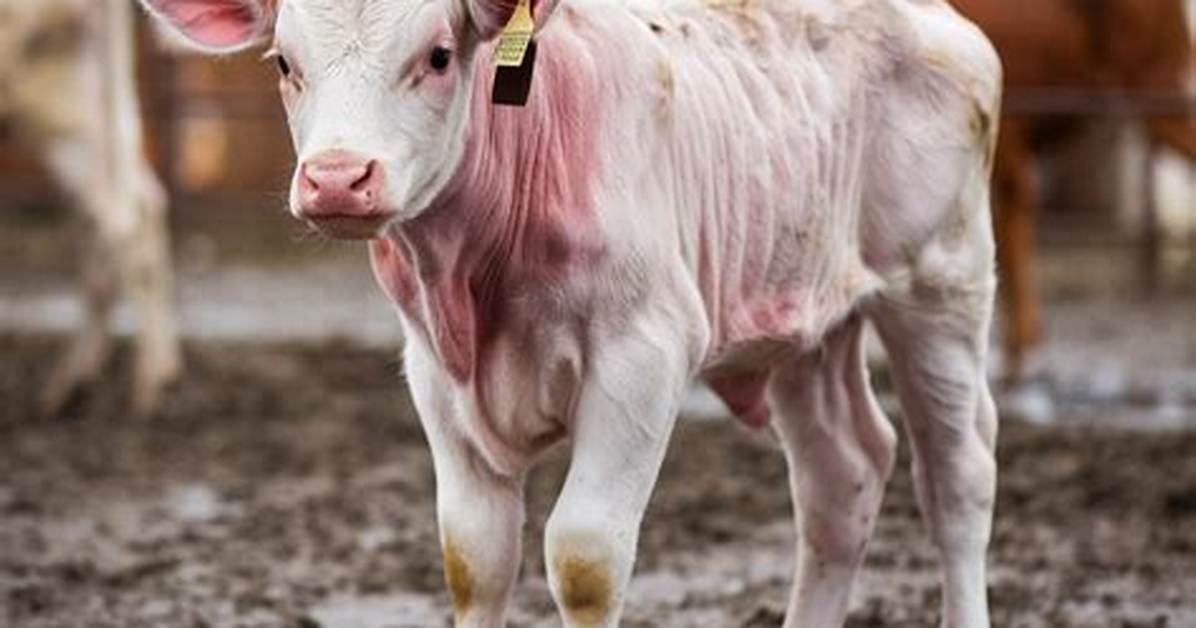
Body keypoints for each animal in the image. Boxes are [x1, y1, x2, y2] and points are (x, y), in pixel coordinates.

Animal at [141, 0, 1002, 625]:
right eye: (284, 62)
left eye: (438, 55)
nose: (336, 178)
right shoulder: (435, 375)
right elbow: (475, 556)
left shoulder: (643, 353)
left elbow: (585, 556)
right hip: (804, 320)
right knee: (838, 477)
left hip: (941, 289)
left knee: (956, 476)